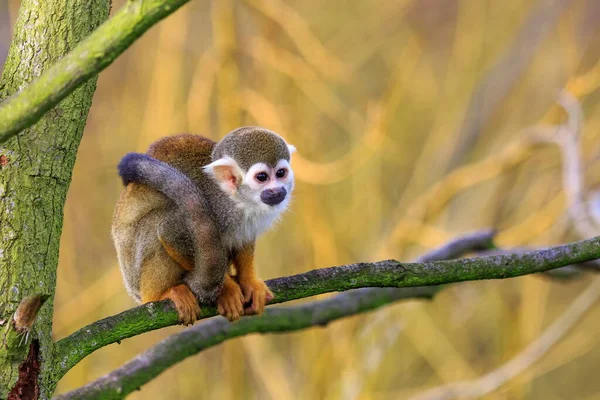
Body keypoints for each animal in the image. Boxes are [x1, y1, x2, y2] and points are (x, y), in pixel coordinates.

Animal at [112, 126, 296, 324]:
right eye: (262, 177)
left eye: (280, 173)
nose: (277, 191)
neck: (234, 198)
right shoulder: (214, 205)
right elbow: (170, 233)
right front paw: (227, 289)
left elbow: (244, 239)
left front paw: (250, 282)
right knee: (157, 222)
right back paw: (160, 294)